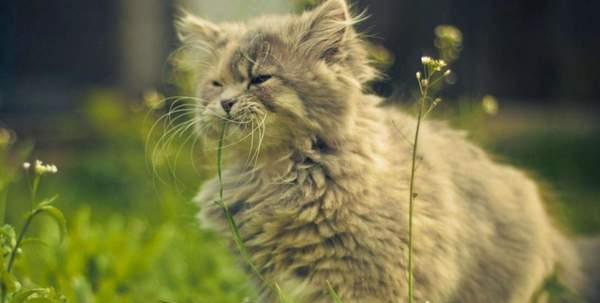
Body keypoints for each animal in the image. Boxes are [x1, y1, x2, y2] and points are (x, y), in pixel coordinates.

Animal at [175, 1, 600, 302]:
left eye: (260, 79)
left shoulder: (373, 279)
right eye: (216, 84)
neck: (275, 175)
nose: (225, 103)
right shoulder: (270, 281)